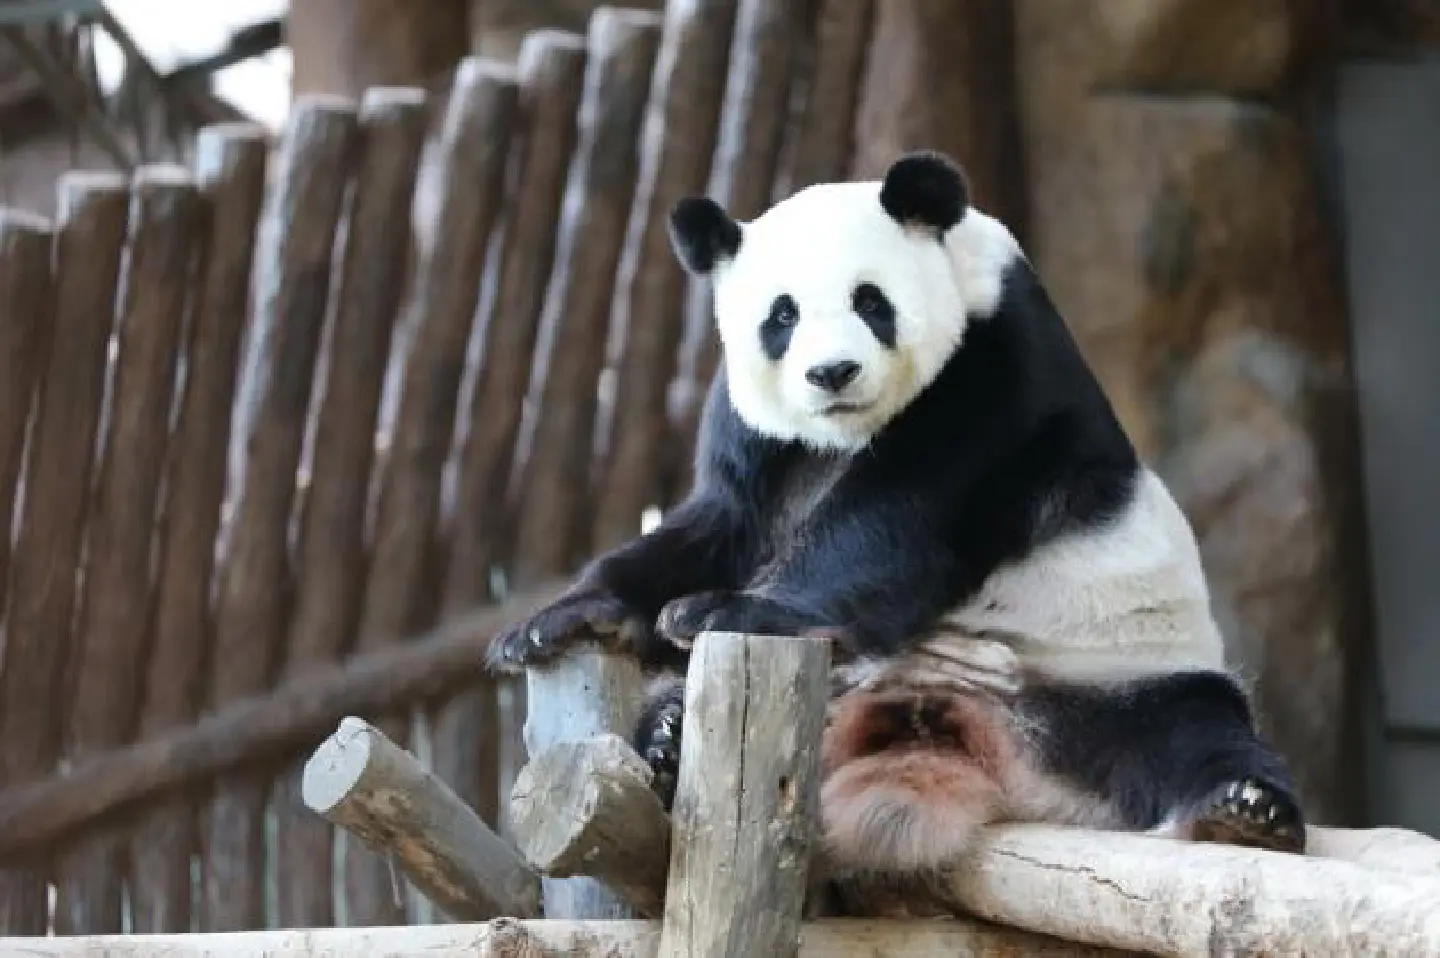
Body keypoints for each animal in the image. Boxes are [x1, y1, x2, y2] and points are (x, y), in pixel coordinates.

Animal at [488, 150, 1305, 915]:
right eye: (781, 316)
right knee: (670, 712)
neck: (845, 431)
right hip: (839, 706)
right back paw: (665, 747)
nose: (832, 373)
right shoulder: (758, 437)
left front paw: (725, 609)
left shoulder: (992, 370)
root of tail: (958, 737)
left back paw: (1246, 813)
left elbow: (893, 524)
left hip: (1106, 679)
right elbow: (719, 527)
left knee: (1192, 733)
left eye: (871, 300)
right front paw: (560, 620)